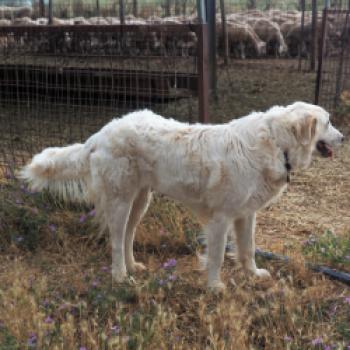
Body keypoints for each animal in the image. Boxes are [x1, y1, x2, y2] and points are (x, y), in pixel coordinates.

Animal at [20, 101, 344, 290]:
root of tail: (100, 134)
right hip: (120, 201)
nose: (343, 137)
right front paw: (214, 288)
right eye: (328, 123)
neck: (276, 143)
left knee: (127, 236)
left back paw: (133, 266)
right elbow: (217, 257)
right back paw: (120, 275)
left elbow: (248, 249)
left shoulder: (246, 214)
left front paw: (253, 274)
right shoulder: (221, 218)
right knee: (115, 240)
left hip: (140, 201)